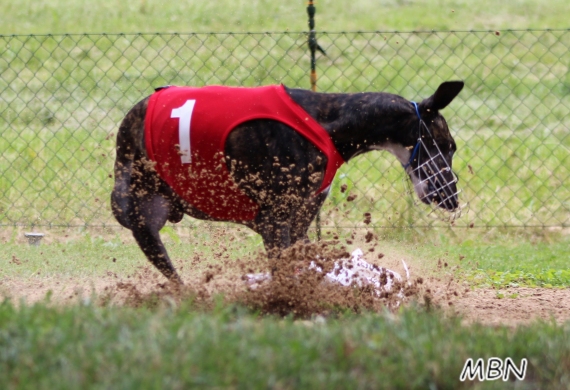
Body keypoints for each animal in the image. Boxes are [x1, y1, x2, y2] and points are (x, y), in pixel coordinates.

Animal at [111, 80, 462, 282]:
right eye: (448, 145)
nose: (452, 198)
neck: (329, 122)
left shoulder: (300, 221)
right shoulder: (274, 222)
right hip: (138, 212)